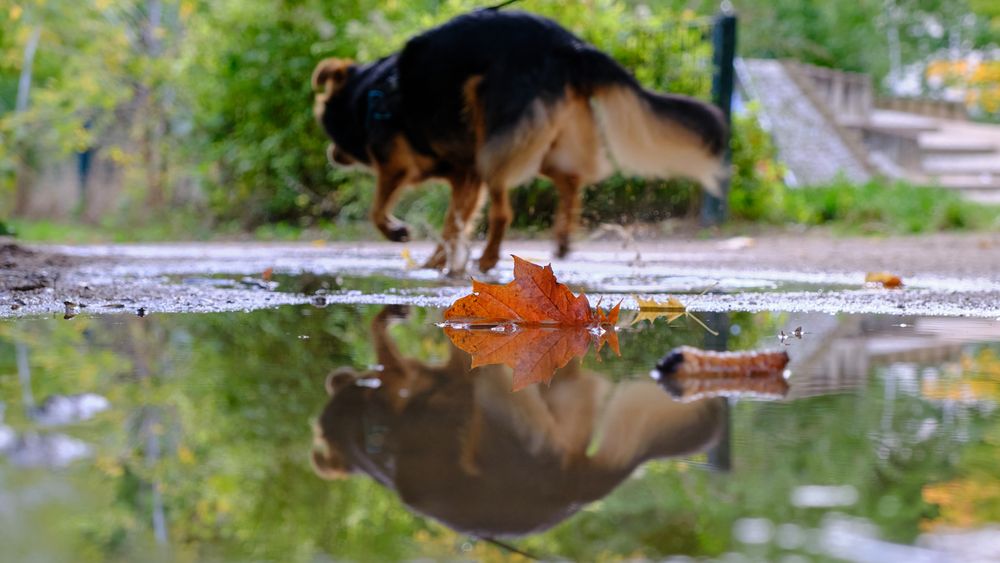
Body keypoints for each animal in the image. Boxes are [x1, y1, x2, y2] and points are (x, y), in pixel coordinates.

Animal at [312, 8, 728, 274]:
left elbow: (378, 209)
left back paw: (489, 259)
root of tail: (568, 45)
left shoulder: (396, 166)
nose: (331, 154)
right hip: (543, 136)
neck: (368, 94)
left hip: (496, 138)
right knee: (570, 179)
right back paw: (561, 238)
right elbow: (454, 222)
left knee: (504, 211)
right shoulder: (465, 174)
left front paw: (400, 233)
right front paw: (438, 261)